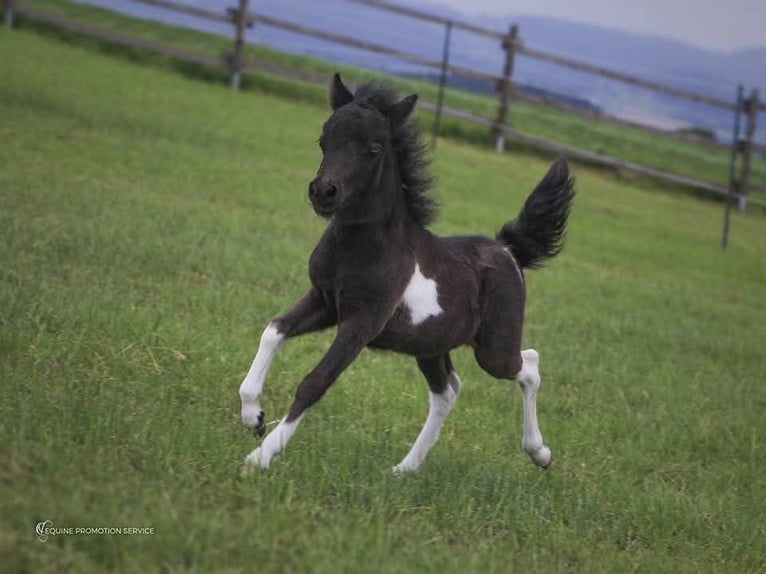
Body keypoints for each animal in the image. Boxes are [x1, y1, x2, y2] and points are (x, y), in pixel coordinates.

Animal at [238, 74, 574, 473]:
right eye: (323, 141)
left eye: (373, 149)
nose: (323, 193)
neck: (360, 245)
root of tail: (508, 250)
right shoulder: (323, 301)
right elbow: (273, 330)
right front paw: (253, 417)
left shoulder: (363, 321)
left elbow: (315, 381)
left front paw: (260, 456)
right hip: (430, 345)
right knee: (447, 392)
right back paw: (405, 469)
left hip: (493, 349)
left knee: (529, 366)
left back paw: (541, 453)